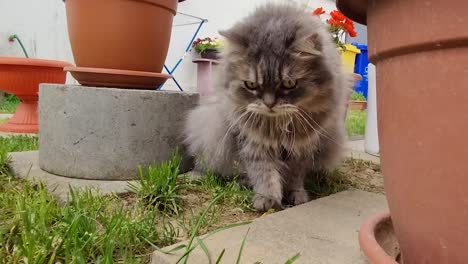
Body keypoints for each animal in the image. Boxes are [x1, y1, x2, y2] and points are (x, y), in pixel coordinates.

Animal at [185, 3, 352, 211]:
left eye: (289, 84)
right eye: (251, 85)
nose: (269, 103)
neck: (278, 126)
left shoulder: (301, 146)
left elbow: (295, 175)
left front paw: (296, 195)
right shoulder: (253, 142)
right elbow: (264, 173)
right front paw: (267, 199)